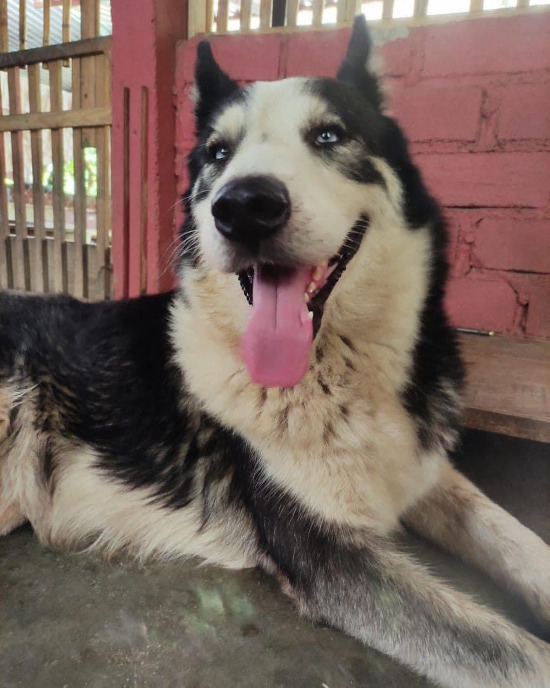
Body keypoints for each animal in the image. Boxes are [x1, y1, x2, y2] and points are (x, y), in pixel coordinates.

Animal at [1, 16, 550, 688]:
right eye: (218, 153)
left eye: (329, 135)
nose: (244, 207)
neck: (337, 370)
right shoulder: (329, 554)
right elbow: (513, 651)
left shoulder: (421, 470)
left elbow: (516, 537)